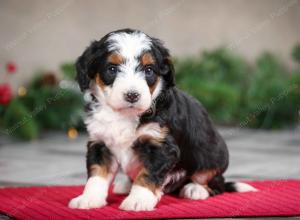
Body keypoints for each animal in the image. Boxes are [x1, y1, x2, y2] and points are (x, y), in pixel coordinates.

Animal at [69, 28, 256, 211]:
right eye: (112, 69)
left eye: (149, 70)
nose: (132, 95)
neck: (124, 115)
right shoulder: (100, 144)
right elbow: (96, 175)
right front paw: (88, 199)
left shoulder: (161, 146)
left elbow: (148, 174)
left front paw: (138, 200)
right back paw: (126, 185)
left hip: (213, 155)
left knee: (215, 181)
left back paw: (195, 189)